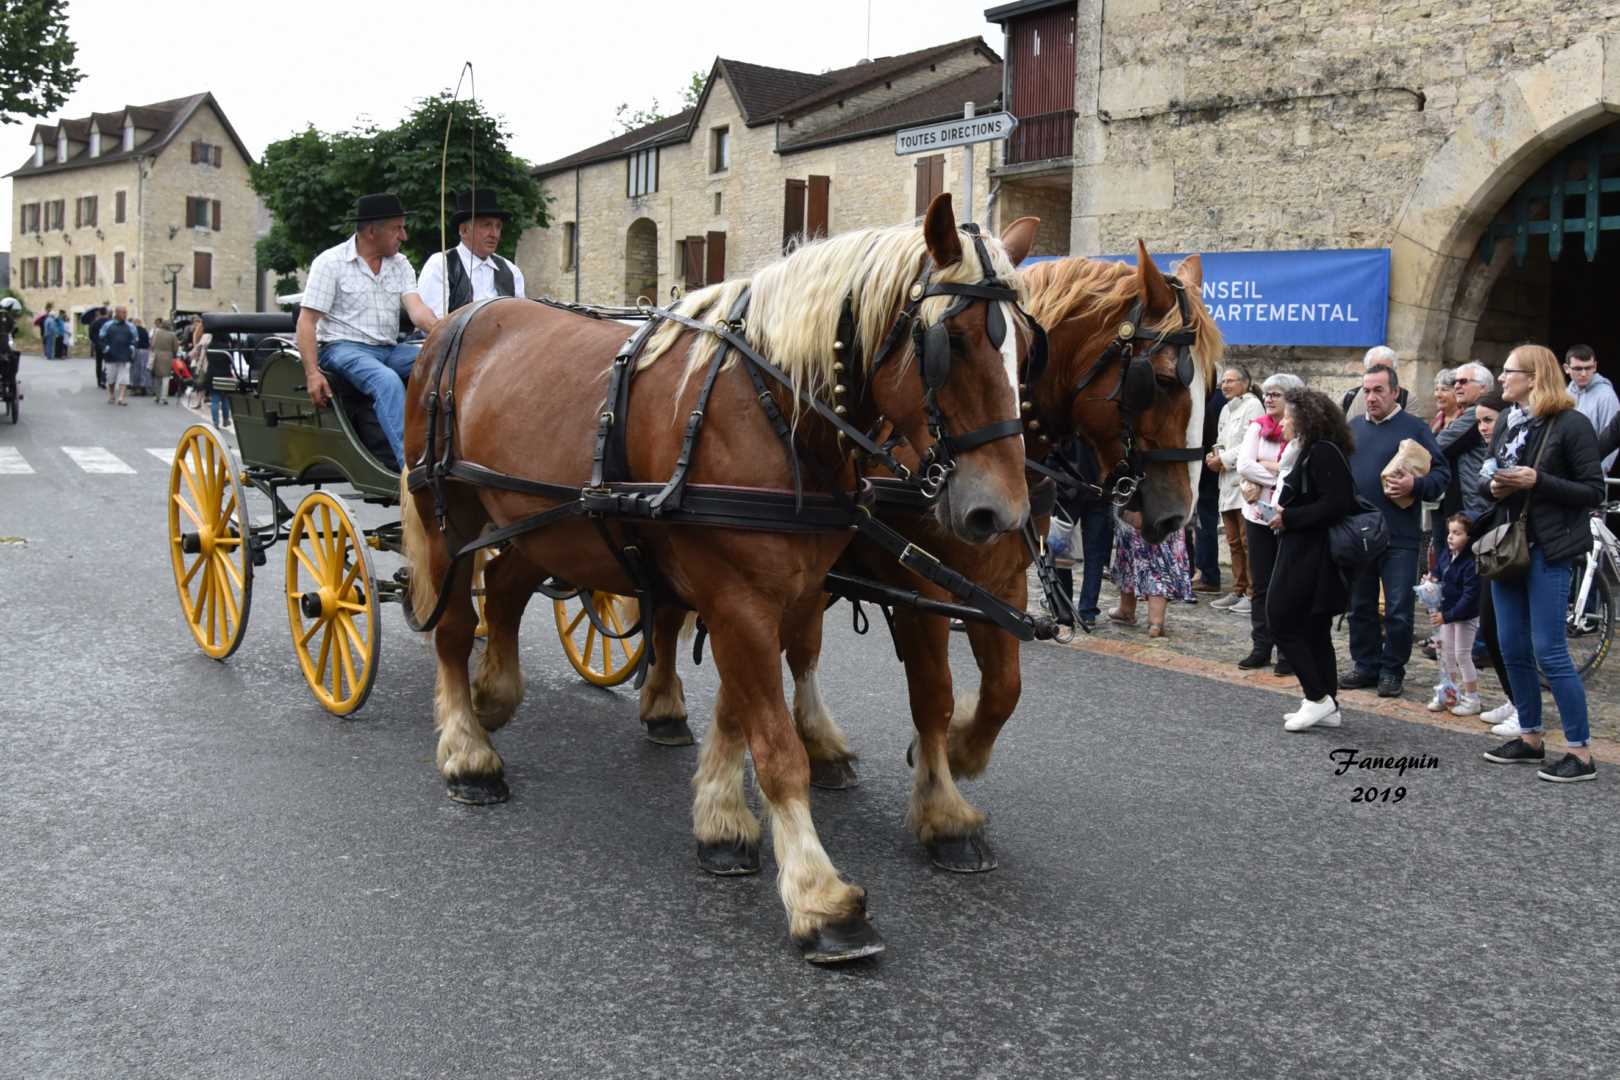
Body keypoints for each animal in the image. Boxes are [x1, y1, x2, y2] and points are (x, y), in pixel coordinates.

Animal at [401, 194, 1036, 965]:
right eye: (953, 343)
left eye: (1026, 347)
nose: (1001, 513)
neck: (770, 407)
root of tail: (460, 320)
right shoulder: (739, 597)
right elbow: (779, 748)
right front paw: (819, 895)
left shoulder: (778, 594)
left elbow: (745, 709)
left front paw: (724, 822)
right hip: (450, 515)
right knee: (455, 626)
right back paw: (469, 753)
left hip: (538, 522)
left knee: (507, 592)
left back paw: (493, 698)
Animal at [638, 244, 1218, 867]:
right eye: (1161, 381)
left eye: (1211, 386)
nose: (1175, 518)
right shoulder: (921, 588)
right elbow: (933, 694)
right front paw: (944, 811)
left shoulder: (1000, 584)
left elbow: (1004, 689)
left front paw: (963, 751)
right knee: (674, 620)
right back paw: (665, 707)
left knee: (797, 649)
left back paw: (815, 746)